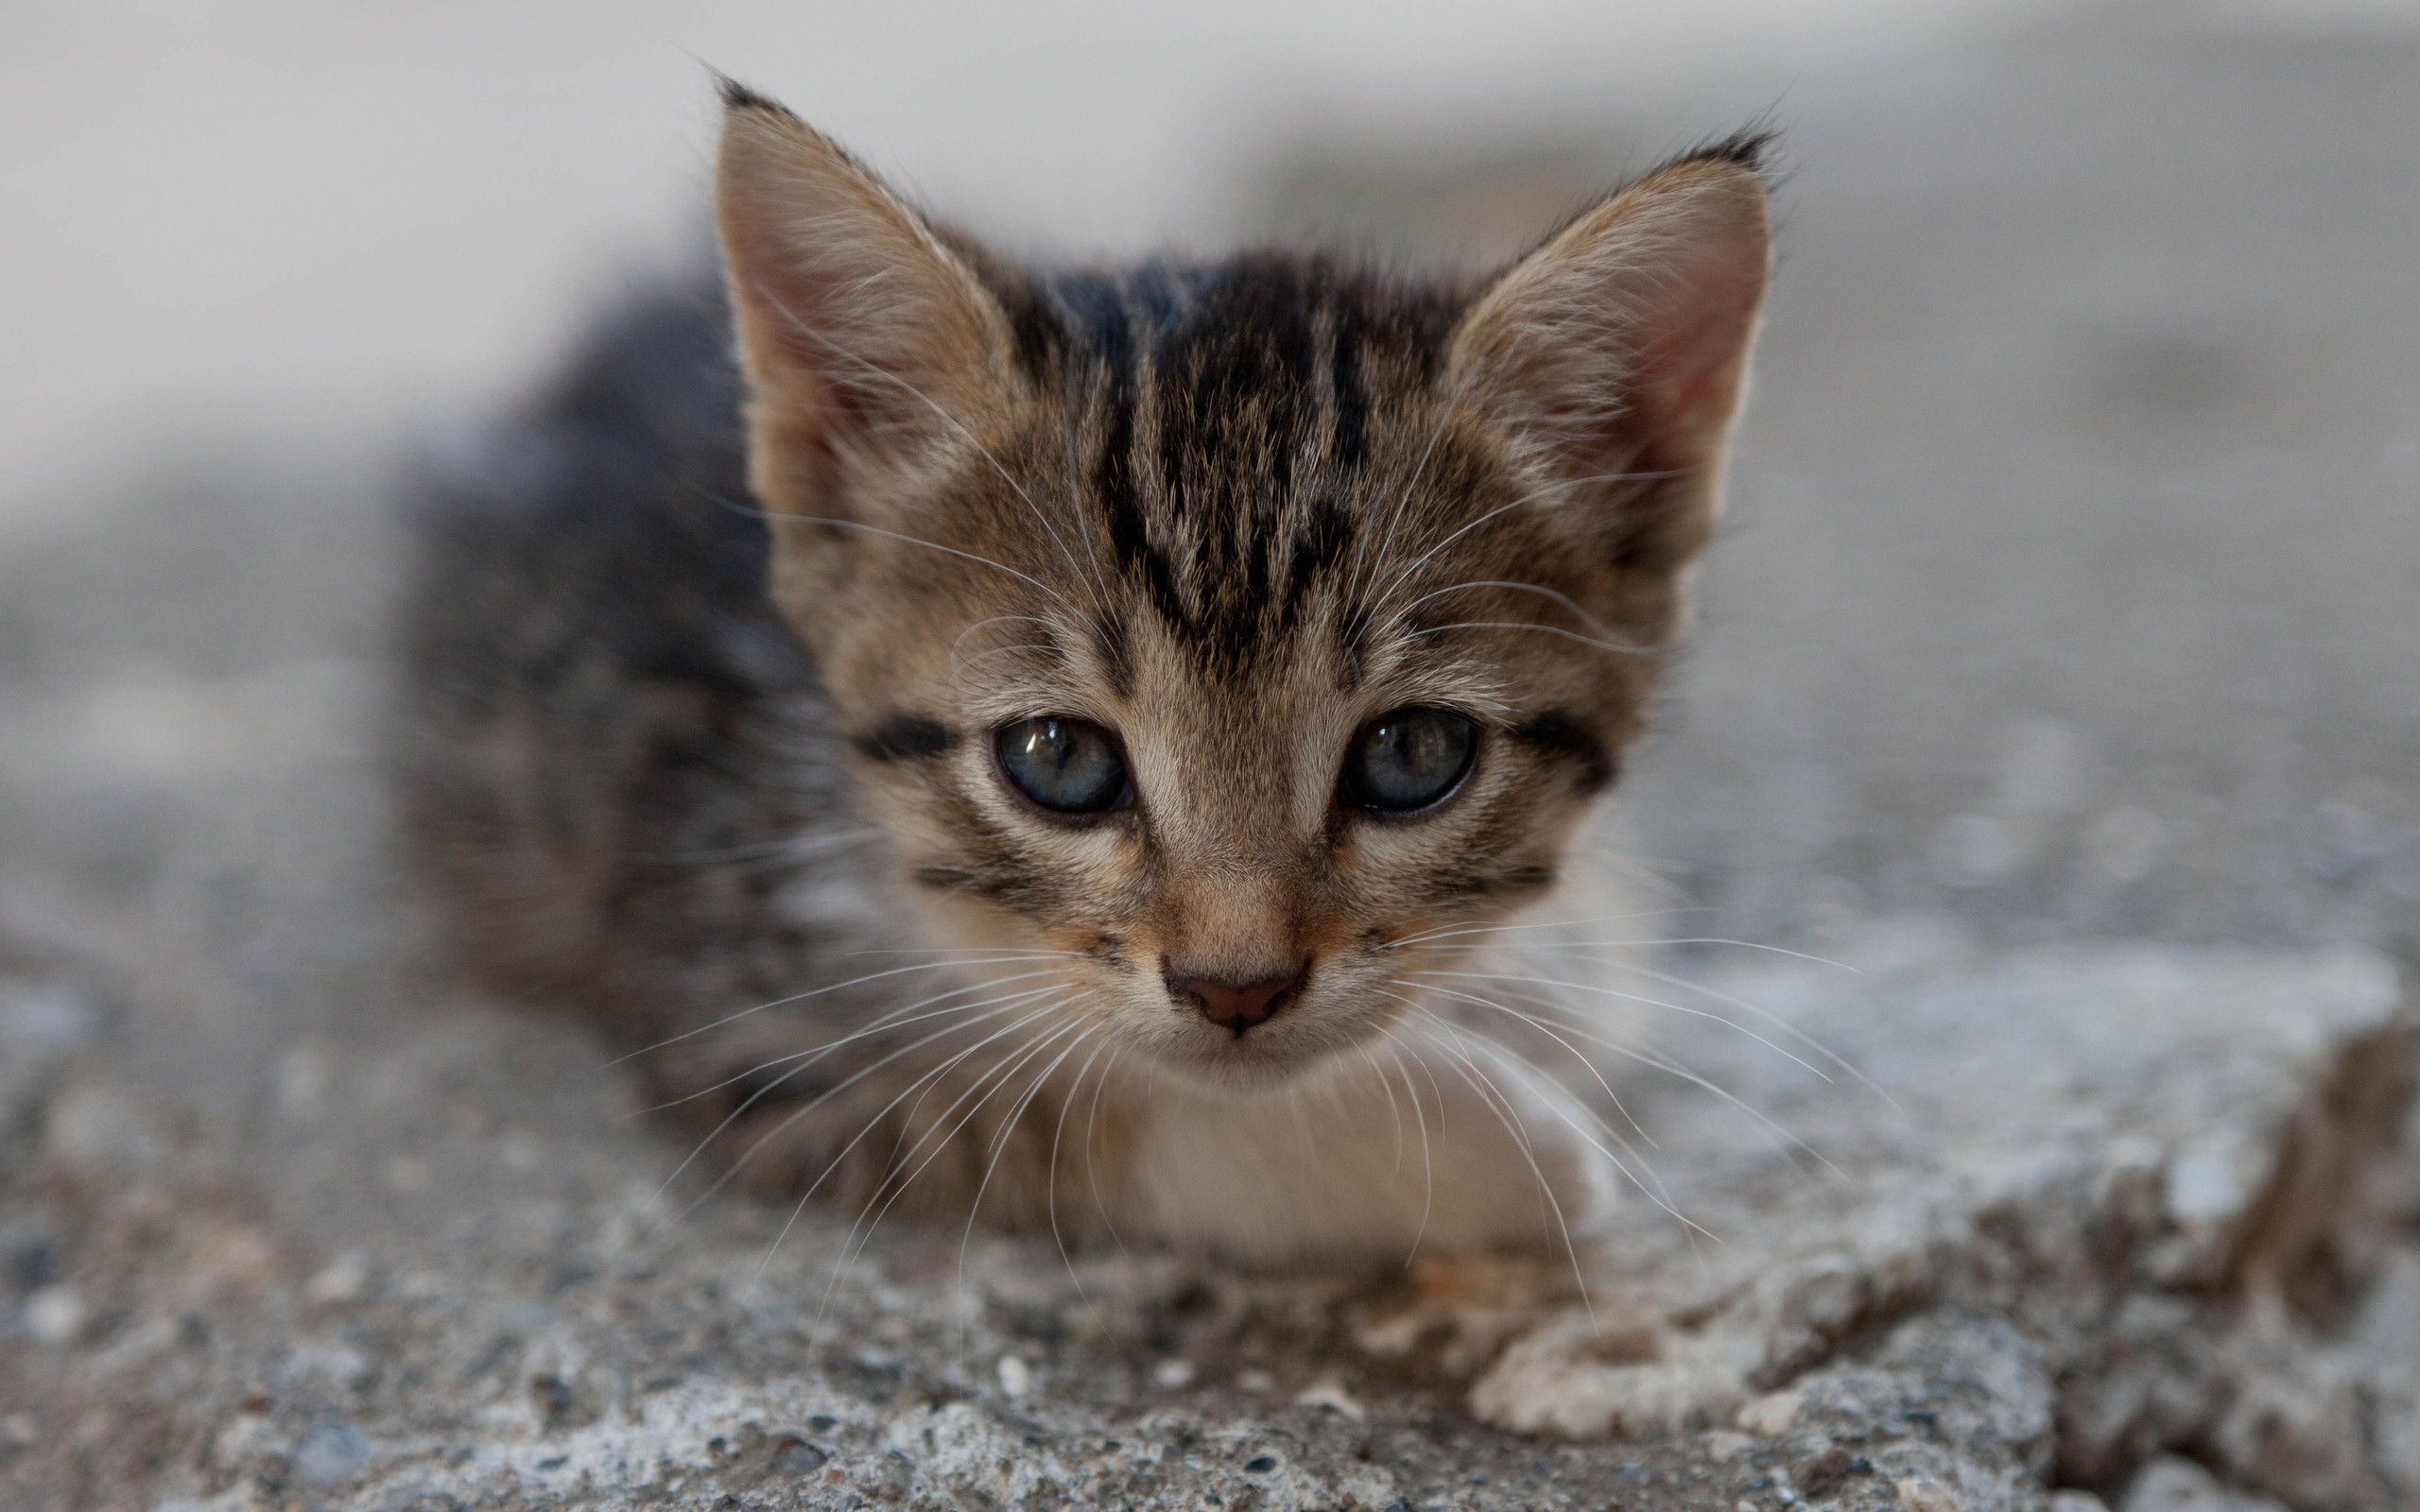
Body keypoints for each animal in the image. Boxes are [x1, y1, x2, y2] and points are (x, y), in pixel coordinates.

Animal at [387, 79, 1771, 1258]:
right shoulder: (746, 1009)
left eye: (1412, 755)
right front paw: (1492, 1142)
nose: (1235, 990)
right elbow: (1091, 1110)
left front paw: (1538, 977)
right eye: (1058, 762)